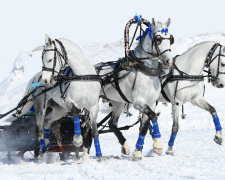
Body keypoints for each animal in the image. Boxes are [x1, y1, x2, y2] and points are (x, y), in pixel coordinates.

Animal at [96, 19, 172, 158]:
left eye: (170, 38)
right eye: (158, 38)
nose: (169, 61)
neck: (145, 70)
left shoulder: (150, 103)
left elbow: (145, 125)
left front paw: (138, 150)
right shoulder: (139, 102)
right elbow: (153, 117)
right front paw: (157, 144)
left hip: (118, 103)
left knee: (112, 124)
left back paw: (125, 146)